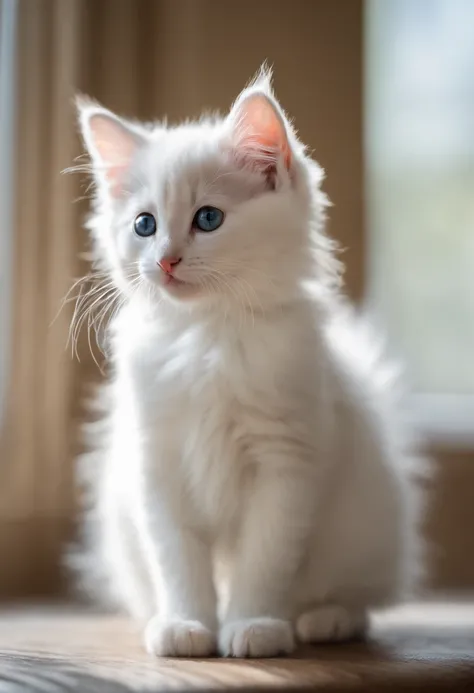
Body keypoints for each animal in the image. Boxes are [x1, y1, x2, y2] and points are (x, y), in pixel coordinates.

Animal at [72, 71, 428, 660]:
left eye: (208, 219)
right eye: (144, 225)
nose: (165, 259)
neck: (209, 339)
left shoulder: (286, 464)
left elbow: (263, 561)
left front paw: (254, 626)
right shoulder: (157, 465)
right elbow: (179, 562)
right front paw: (185, 626)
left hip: (365, 527)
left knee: (356, 598)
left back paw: (324, 620)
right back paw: (157, 617)